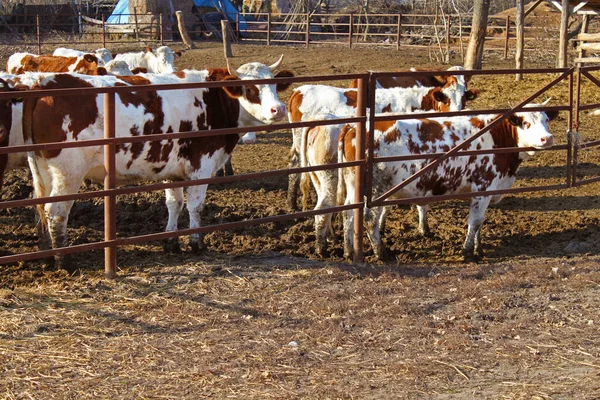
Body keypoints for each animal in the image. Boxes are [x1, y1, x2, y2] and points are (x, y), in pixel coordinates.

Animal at [22, 56, 294, 270]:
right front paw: (196, 242)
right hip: (69, 173)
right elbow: (195, 206)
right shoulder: (202, 165)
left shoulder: (172, 169)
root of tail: (43, 83)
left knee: (41, 207)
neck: (212, 97)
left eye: (274, 85)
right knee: (56, 211)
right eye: (250, 89)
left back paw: (47, 255)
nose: (279, 109)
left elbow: (174, 204)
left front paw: (171, 241)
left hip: (43, 169)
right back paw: (63, 261)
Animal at [338, 101, 556, 260]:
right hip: (376, 188)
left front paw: (479, 248)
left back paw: (348, 250)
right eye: (526, 123)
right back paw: (381, 253)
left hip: (353, 185)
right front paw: (468, 252)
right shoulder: (483, 186)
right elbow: (475, 221)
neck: (497, 136)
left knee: (348, 213)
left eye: (546, 120)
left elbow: (480, 223)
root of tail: (352, 126)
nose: (547, 138)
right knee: (369, 218)